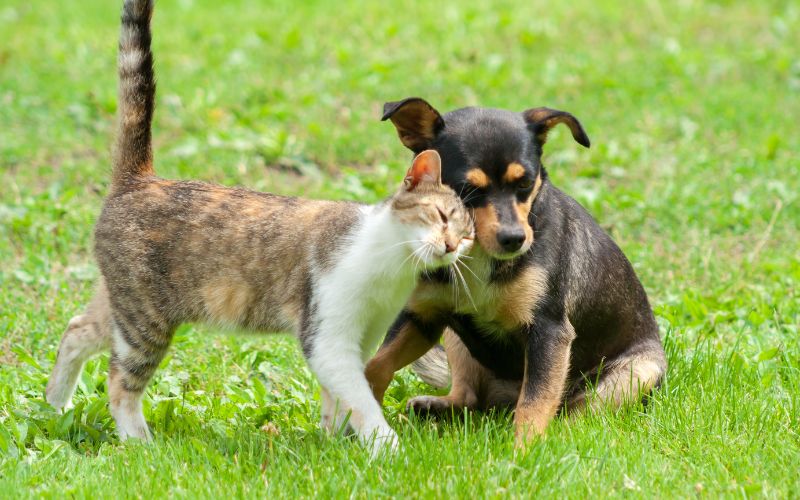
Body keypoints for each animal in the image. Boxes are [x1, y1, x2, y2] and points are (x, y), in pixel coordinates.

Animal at [45, 0, 476, 456]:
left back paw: (56, 407)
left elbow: (339, 400)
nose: (451, 245)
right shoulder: (327, 339)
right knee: (119, 383)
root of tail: (140, 178)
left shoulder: (362, 337)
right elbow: (361, 399)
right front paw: (386, 447)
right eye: (441, 216)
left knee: (76, 329)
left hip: (123, 303)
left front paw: (334, 441)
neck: (391, 267)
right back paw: (139, 442)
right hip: (146, 319)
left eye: (467, 236)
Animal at [366, 97, 664, 446]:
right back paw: (435, 406)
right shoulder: (422, 317)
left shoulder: (549, 331)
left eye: (525, 183)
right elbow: (376, 365)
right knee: (469, 398)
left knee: (572, 412)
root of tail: (502, 399)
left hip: (635, 374)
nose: (514, 239)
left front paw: (523, 452)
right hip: (456, 340)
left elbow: (534, 403)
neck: (478, 254)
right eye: (467, 189)